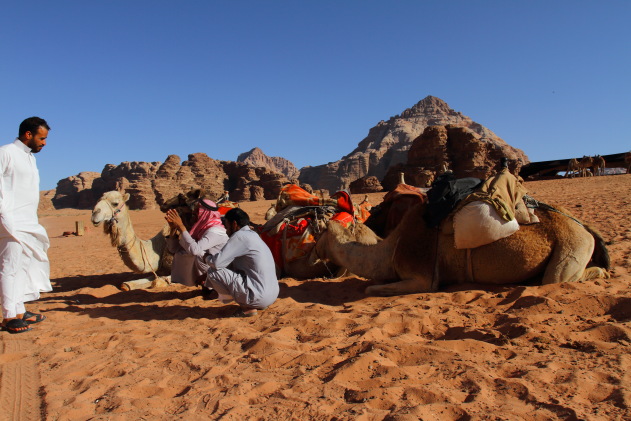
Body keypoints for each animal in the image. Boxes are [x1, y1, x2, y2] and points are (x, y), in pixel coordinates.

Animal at [312, 199, 612, 296]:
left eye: (321, 232)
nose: (314, 252)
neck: (390, 249)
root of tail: (585, 227)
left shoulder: (423, 278)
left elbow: (371, 288)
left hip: (572, 246)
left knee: (557, 278)